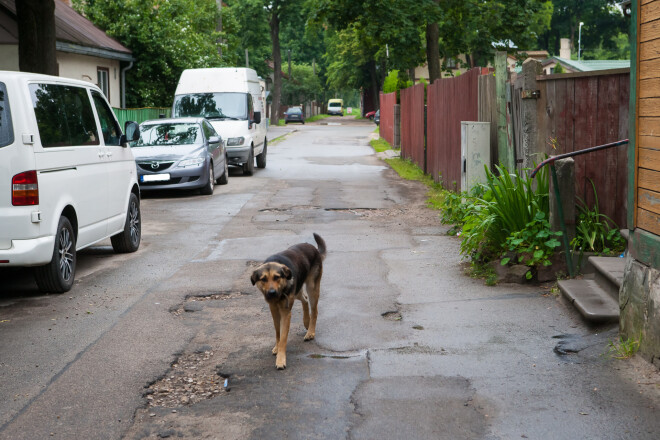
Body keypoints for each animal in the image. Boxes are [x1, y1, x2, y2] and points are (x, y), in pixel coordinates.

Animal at [250, 234, 328, 368]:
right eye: (263, 279)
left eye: (276, 277)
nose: (272, 293)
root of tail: (314, 248)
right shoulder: (274, 310)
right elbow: (278, 332)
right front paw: (277, 347)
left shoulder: (286, 312)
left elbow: (283, 337)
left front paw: (281, 359)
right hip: (297, 291)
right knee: (305, 299)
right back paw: (306, 321)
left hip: (312, 287)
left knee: (314, 310)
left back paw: (310, 332)